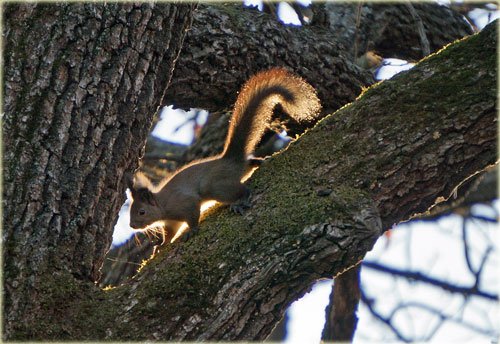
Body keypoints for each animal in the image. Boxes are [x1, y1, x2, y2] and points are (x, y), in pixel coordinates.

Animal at [125, 68, 320, 242]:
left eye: (142, 211)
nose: (132, 225)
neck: (163, 204)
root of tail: (230, 159)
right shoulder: (171, 221)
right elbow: (170, 233)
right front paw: (159, 247)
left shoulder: (184, 203)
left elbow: (192, 216)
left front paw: (191, 230)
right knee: (249, 164)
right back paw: (260, 161)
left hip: (216, 186)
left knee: (243, 190)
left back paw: (240, 201)